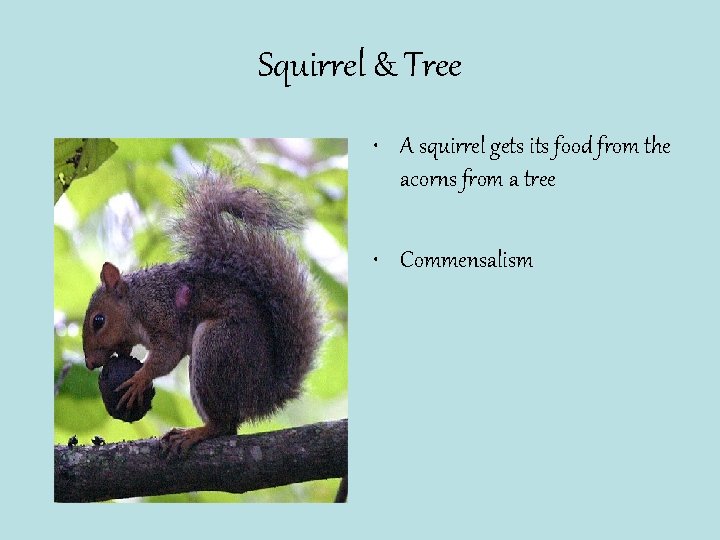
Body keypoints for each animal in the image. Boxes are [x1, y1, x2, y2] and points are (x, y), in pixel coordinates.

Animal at [82, 173, 323, 455]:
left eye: (98, 321)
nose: (89, 363)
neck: (137, 301)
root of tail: (264, 395)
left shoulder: (162, 315)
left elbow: (167, 354)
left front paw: (139, 378)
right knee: (229, 426)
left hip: (216, 348)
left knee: (223, 424)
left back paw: (196, 432)